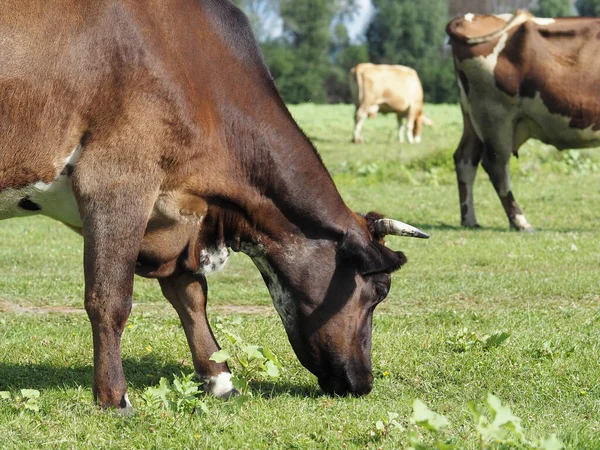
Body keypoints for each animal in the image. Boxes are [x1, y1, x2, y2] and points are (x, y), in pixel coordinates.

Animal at [1, 0, 432, 412]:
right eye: (380, 289)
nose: (364, 382)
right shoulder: (117, 179)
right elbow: (109, 298)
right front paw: (114, 398)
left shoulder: (180, 213)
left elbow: (191, 296)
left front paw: (219, 379)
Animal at [446, 11, 600, 230]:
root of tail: (471, 17)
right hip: (495, 115)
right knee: (495, 165)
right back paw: (520, 222)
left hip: (473, 116)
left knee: (465, 158)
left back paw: (470, 220)